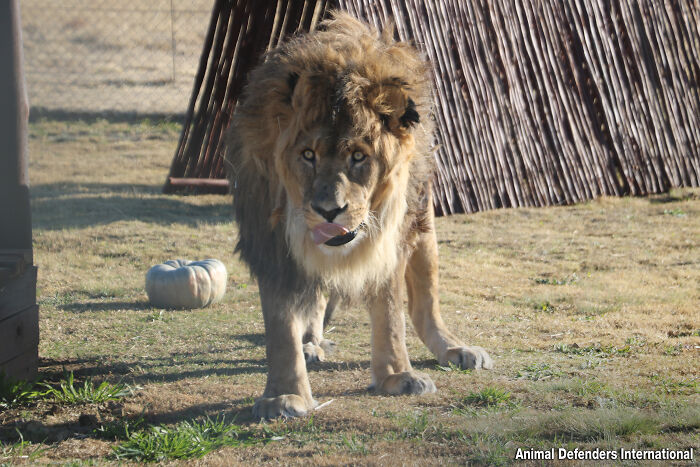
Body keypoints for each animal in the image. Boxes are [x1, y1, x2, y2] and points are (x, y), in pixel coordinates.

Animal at [225, 12, 492, 420]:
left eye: (358, 156)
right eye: (307, 155)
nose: (329, 210)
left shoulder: (391, 242)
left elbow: (391, 314)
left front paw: (398, 376)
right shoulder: (270, 243)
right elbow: (282, 323)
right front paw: (285, 396)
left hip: (423, 225)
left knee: (425, 302)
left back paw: (454, 348)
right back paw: (312, 345)